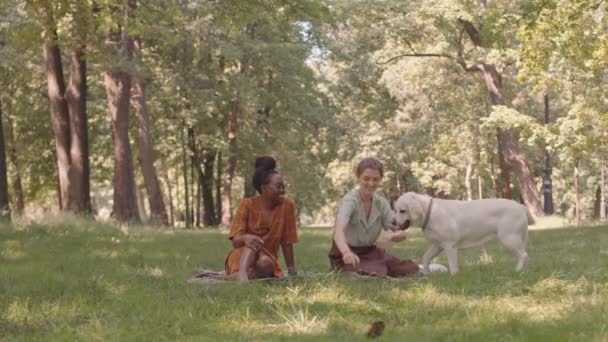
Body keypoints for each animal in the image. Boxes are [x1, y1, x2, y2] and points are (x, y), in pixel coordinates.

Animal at [394, 192, 532, 276]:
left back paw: (517, 270)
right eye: (395, 210)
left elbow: (452, 265)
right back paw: (523, 271)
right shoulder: (438, 245)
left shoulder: (450, 245)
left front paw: (454, 276)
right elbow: (426, 257)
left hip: (508, 239)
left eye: (402, 211)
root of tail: (521, 206)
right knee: (524, 255)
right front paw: (425, 273)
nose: (393, 222)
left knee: (524, 255)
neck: (430, 212)